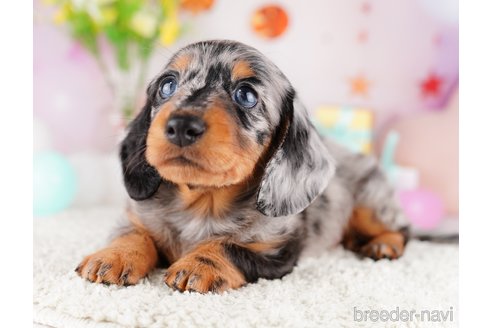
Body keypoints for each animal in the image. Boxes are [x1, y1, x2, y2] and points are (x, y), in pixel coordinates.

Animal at [75, 39, 410, 294]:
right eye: (167, 86)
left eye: (246, 94)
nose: (181, 125)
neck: (201, 202)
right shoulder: (137, 218)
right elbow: (132, 235)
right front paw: (114, 256)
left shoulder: (277, 250)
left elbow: (229, 247)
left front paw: (198, 263)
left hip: (371, 206)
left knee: (402, 229)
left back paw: (383, 245)